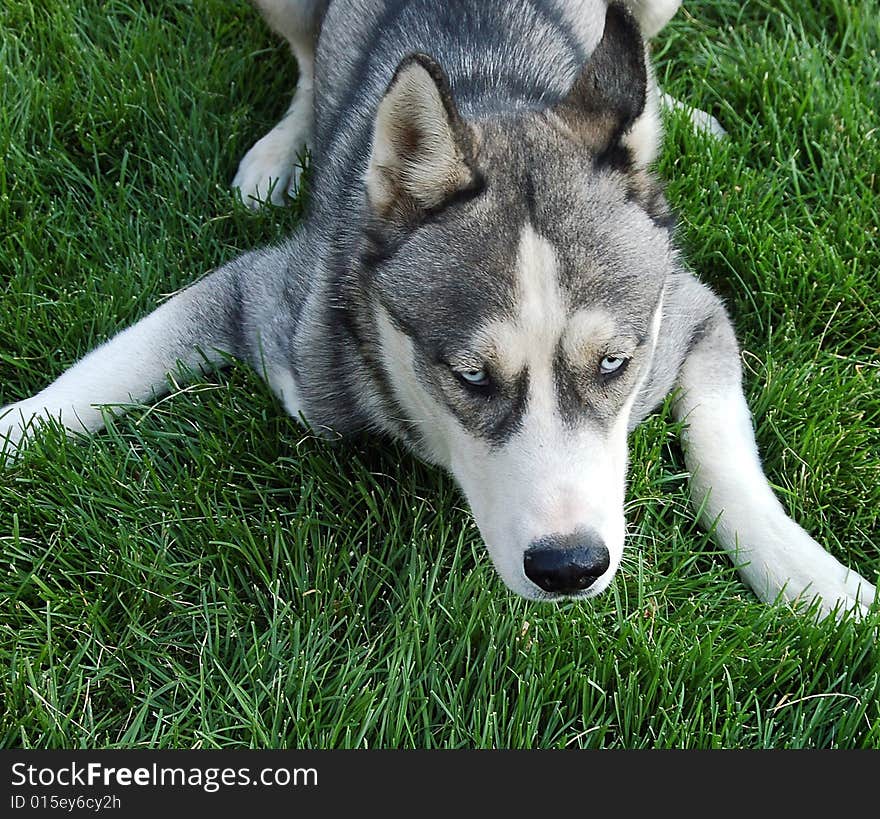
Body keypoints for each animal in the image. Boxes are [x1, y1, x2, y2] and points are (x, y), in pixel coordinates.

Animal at [3, 0, 876, 616]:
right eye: (471, 374)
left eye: (614, 364)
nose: (569, 567)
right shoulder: (273, 306)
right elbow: (113, 363)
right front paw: (20, 423)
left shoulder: (690, 311)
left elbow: (726, 461)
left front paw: (811, 580)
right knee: (310, 60)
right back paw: (283, 150)